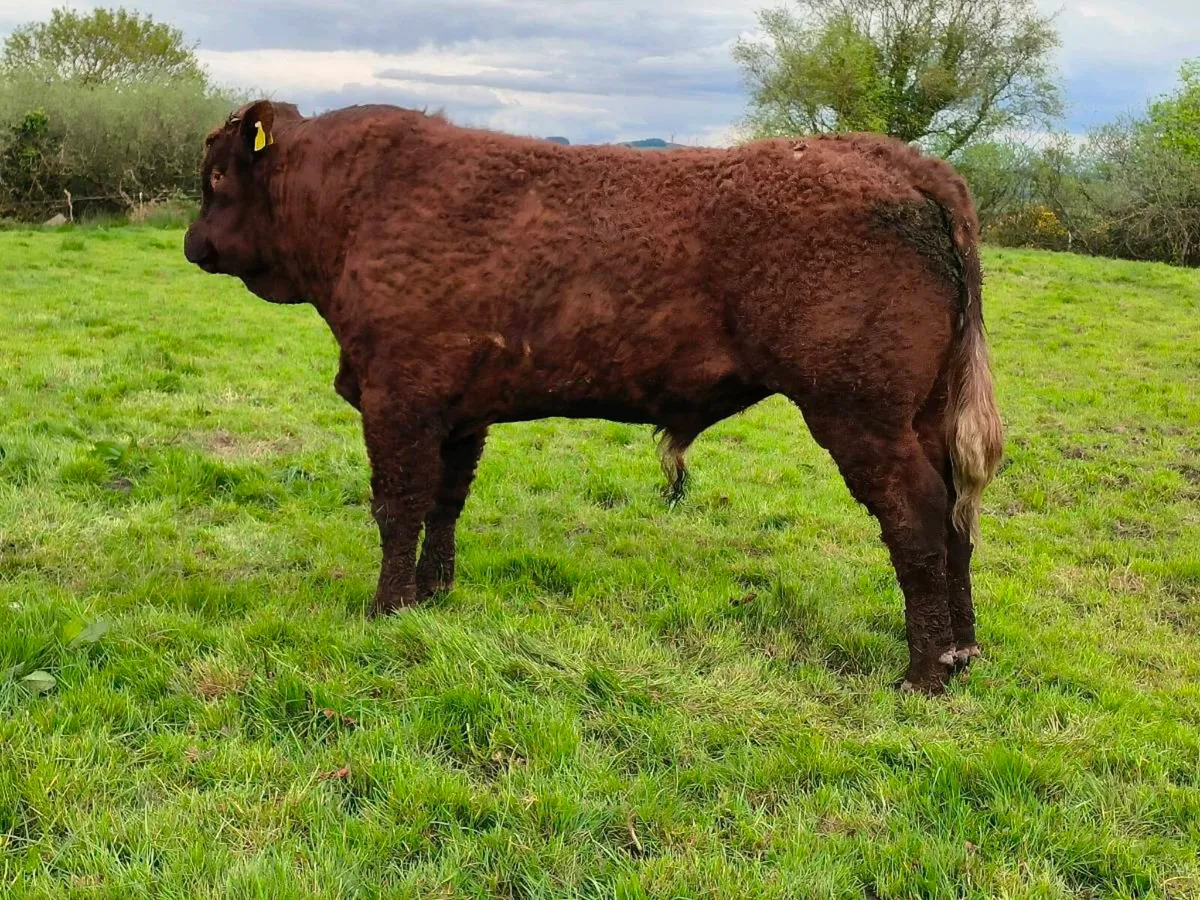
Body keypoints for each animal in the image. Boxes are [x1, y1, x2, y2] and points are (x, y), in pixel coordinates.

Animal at [184, 100, 1003, 694]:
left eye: (216, 179)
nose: (193, 243)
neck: (355, 205)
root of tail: (903, 160)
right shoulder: (459, 412)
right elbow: (445, 505)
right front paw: (433, 596)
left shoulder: (398, 399)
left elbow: (397, 508)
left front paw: (387, 609)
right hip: (924, 415)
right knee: (957, 517)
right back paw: (962, 652)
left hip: (860, 415)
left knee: (917, 518)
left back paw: (922, 673)